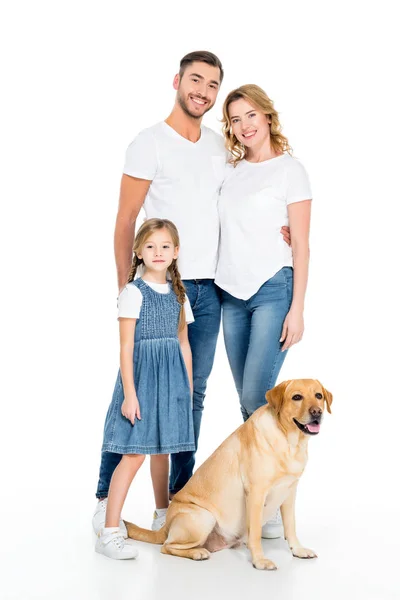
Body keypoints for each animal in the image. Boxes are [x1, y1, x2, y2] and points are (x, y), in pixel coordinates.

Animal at [125, 378, 332, 568]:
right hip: (203, 517)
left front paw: (298, 550)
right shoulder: (256, 493)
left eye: (318, 396)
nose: (317, 412)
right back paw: (197, 553)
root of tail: (165, 525)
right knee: (166, 546)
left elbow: (291, 525)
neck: (289, 442)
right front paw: (260, 560)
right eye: (297, 397)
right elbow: (255, 532)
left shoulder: (289, 492)